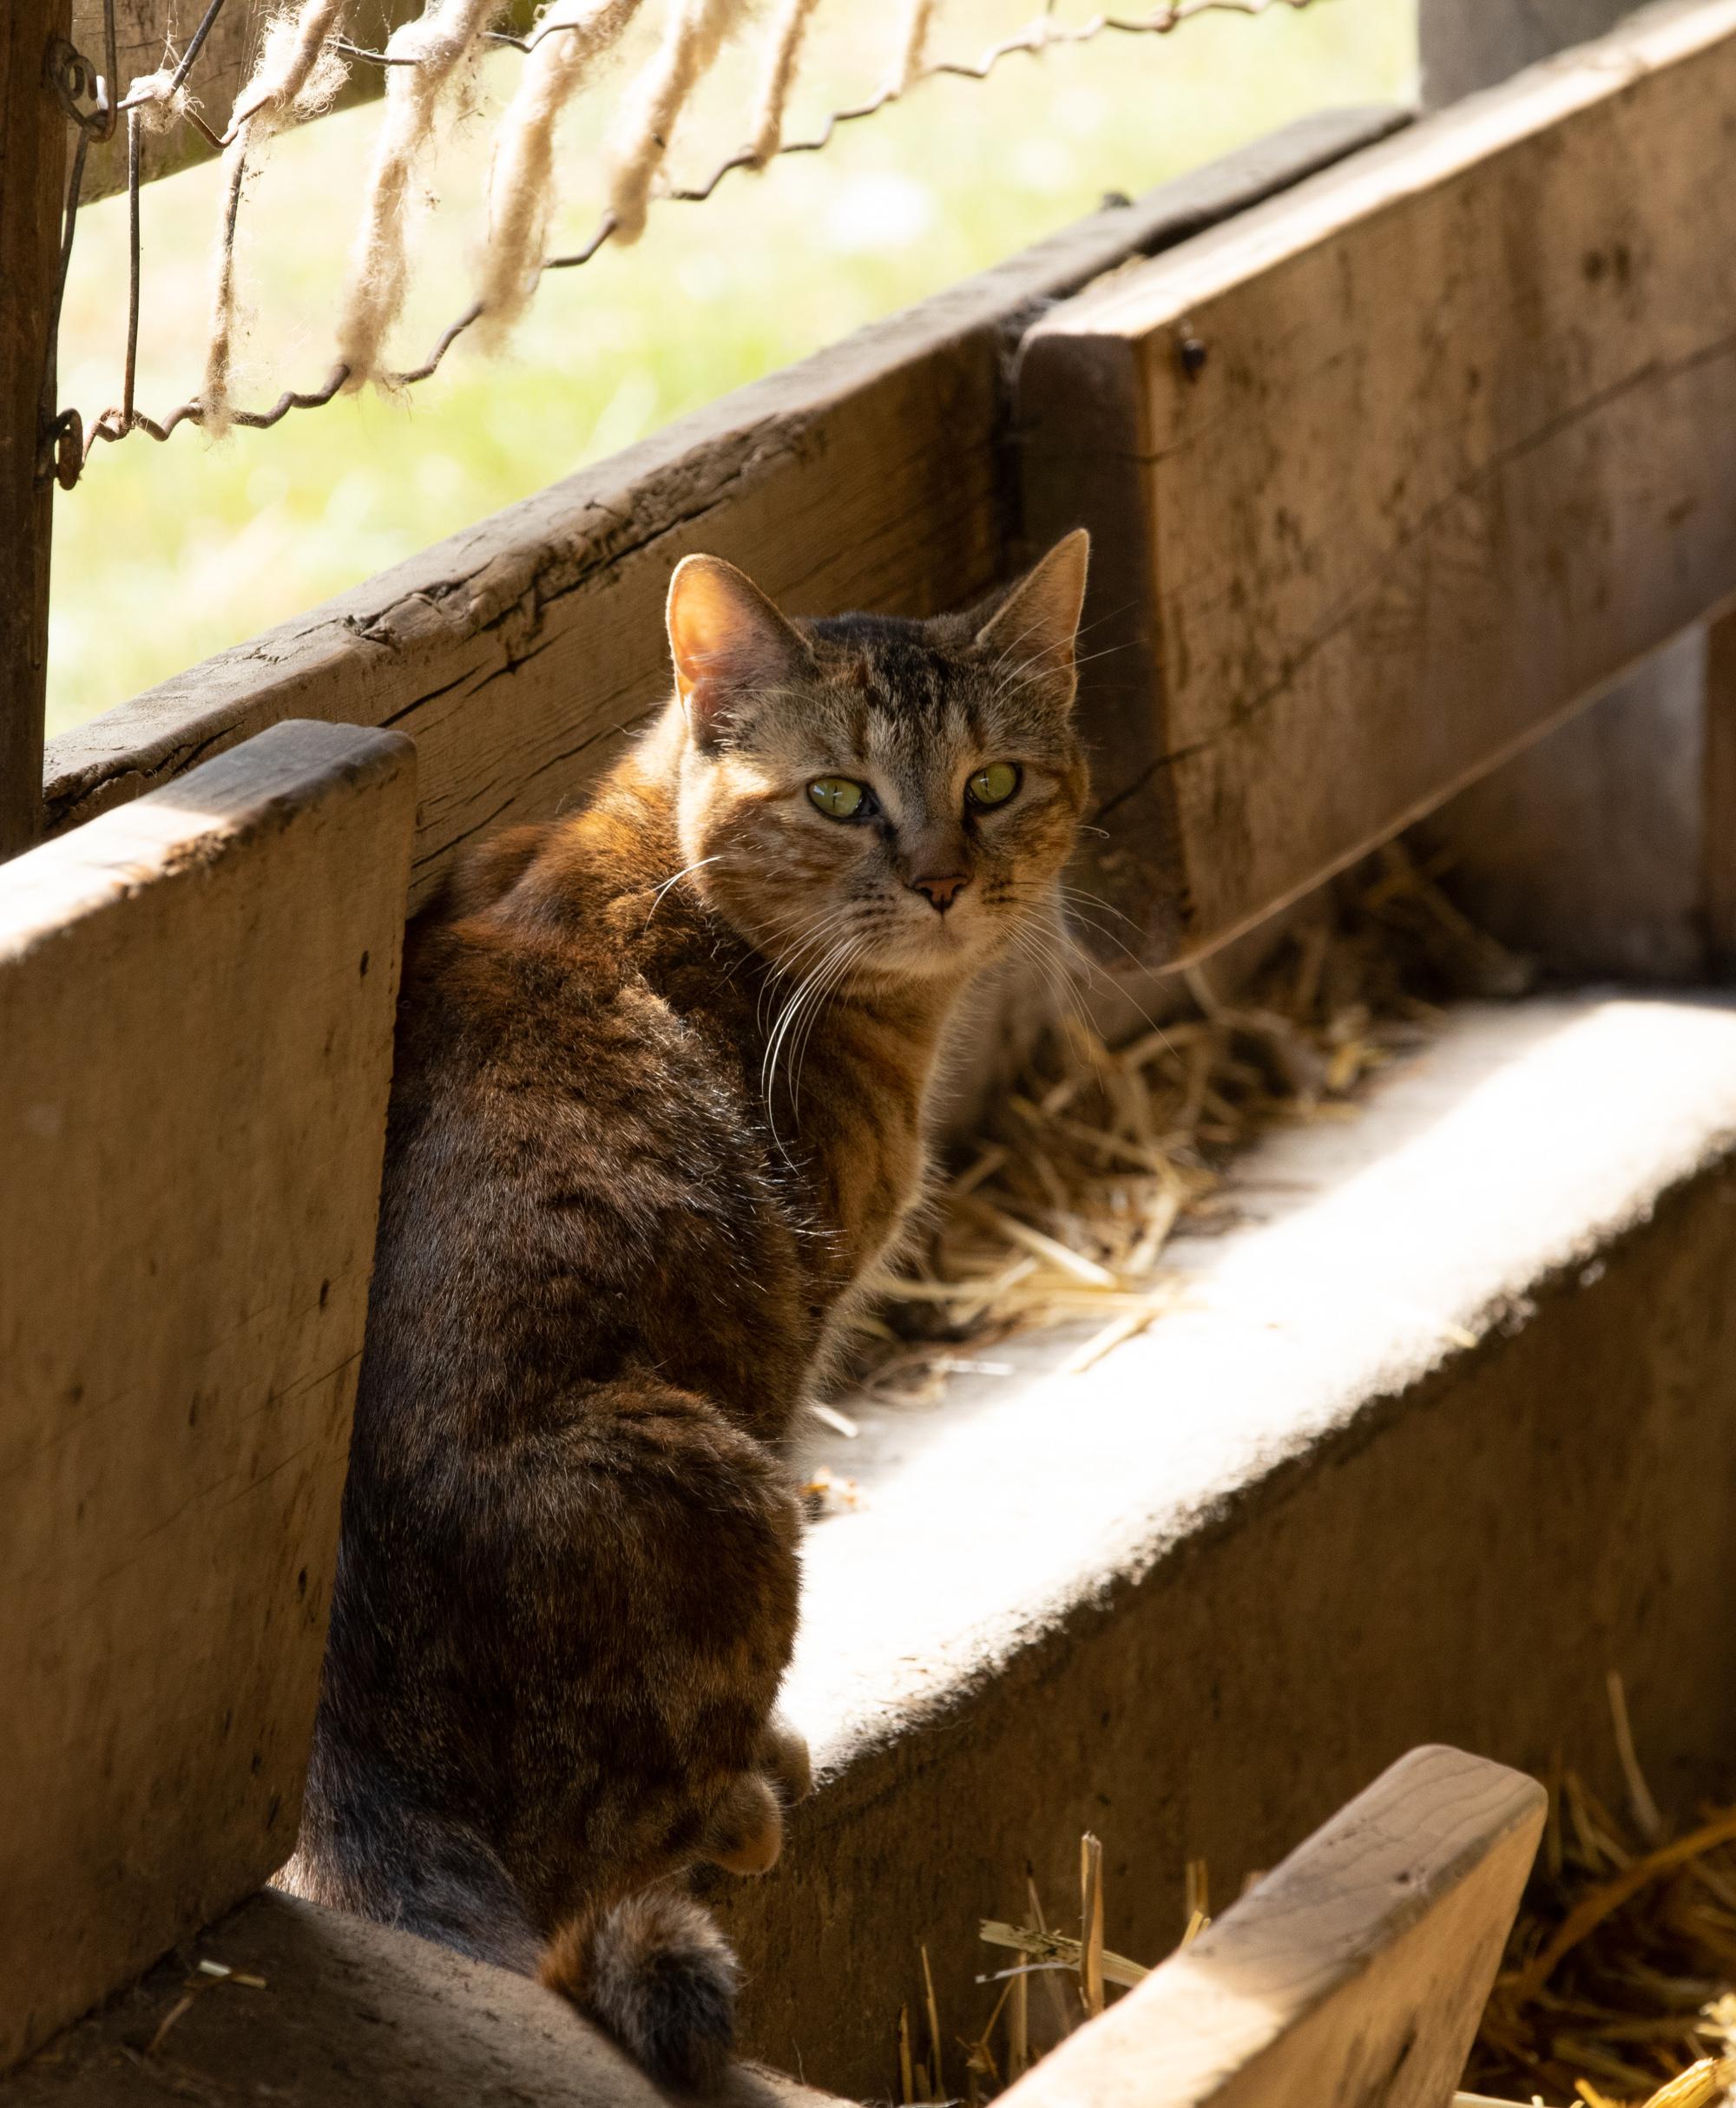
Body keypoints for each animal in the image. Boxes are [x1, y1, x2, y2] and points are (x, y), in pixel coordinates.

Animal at [285, 531, 1096, 2091]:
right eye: (839, 794)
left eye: (995, 782)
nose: (945, 880)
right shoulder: (789, 1347)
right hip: (719, 1476)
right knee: (612, 1857)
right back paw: (745, 1796)